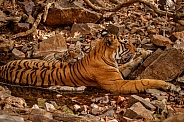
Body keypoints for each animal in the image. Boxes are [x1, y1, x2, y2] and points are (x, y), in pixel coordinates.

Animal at [0, 30, 175, 93]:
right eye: (126, 43)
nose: (135, 47)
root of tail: (3, 67)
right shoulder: (117, 84)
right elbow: (144, 81)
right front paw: (167, 85)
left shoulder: (119, 71)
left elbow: (131, 63)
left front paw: (145, 52)